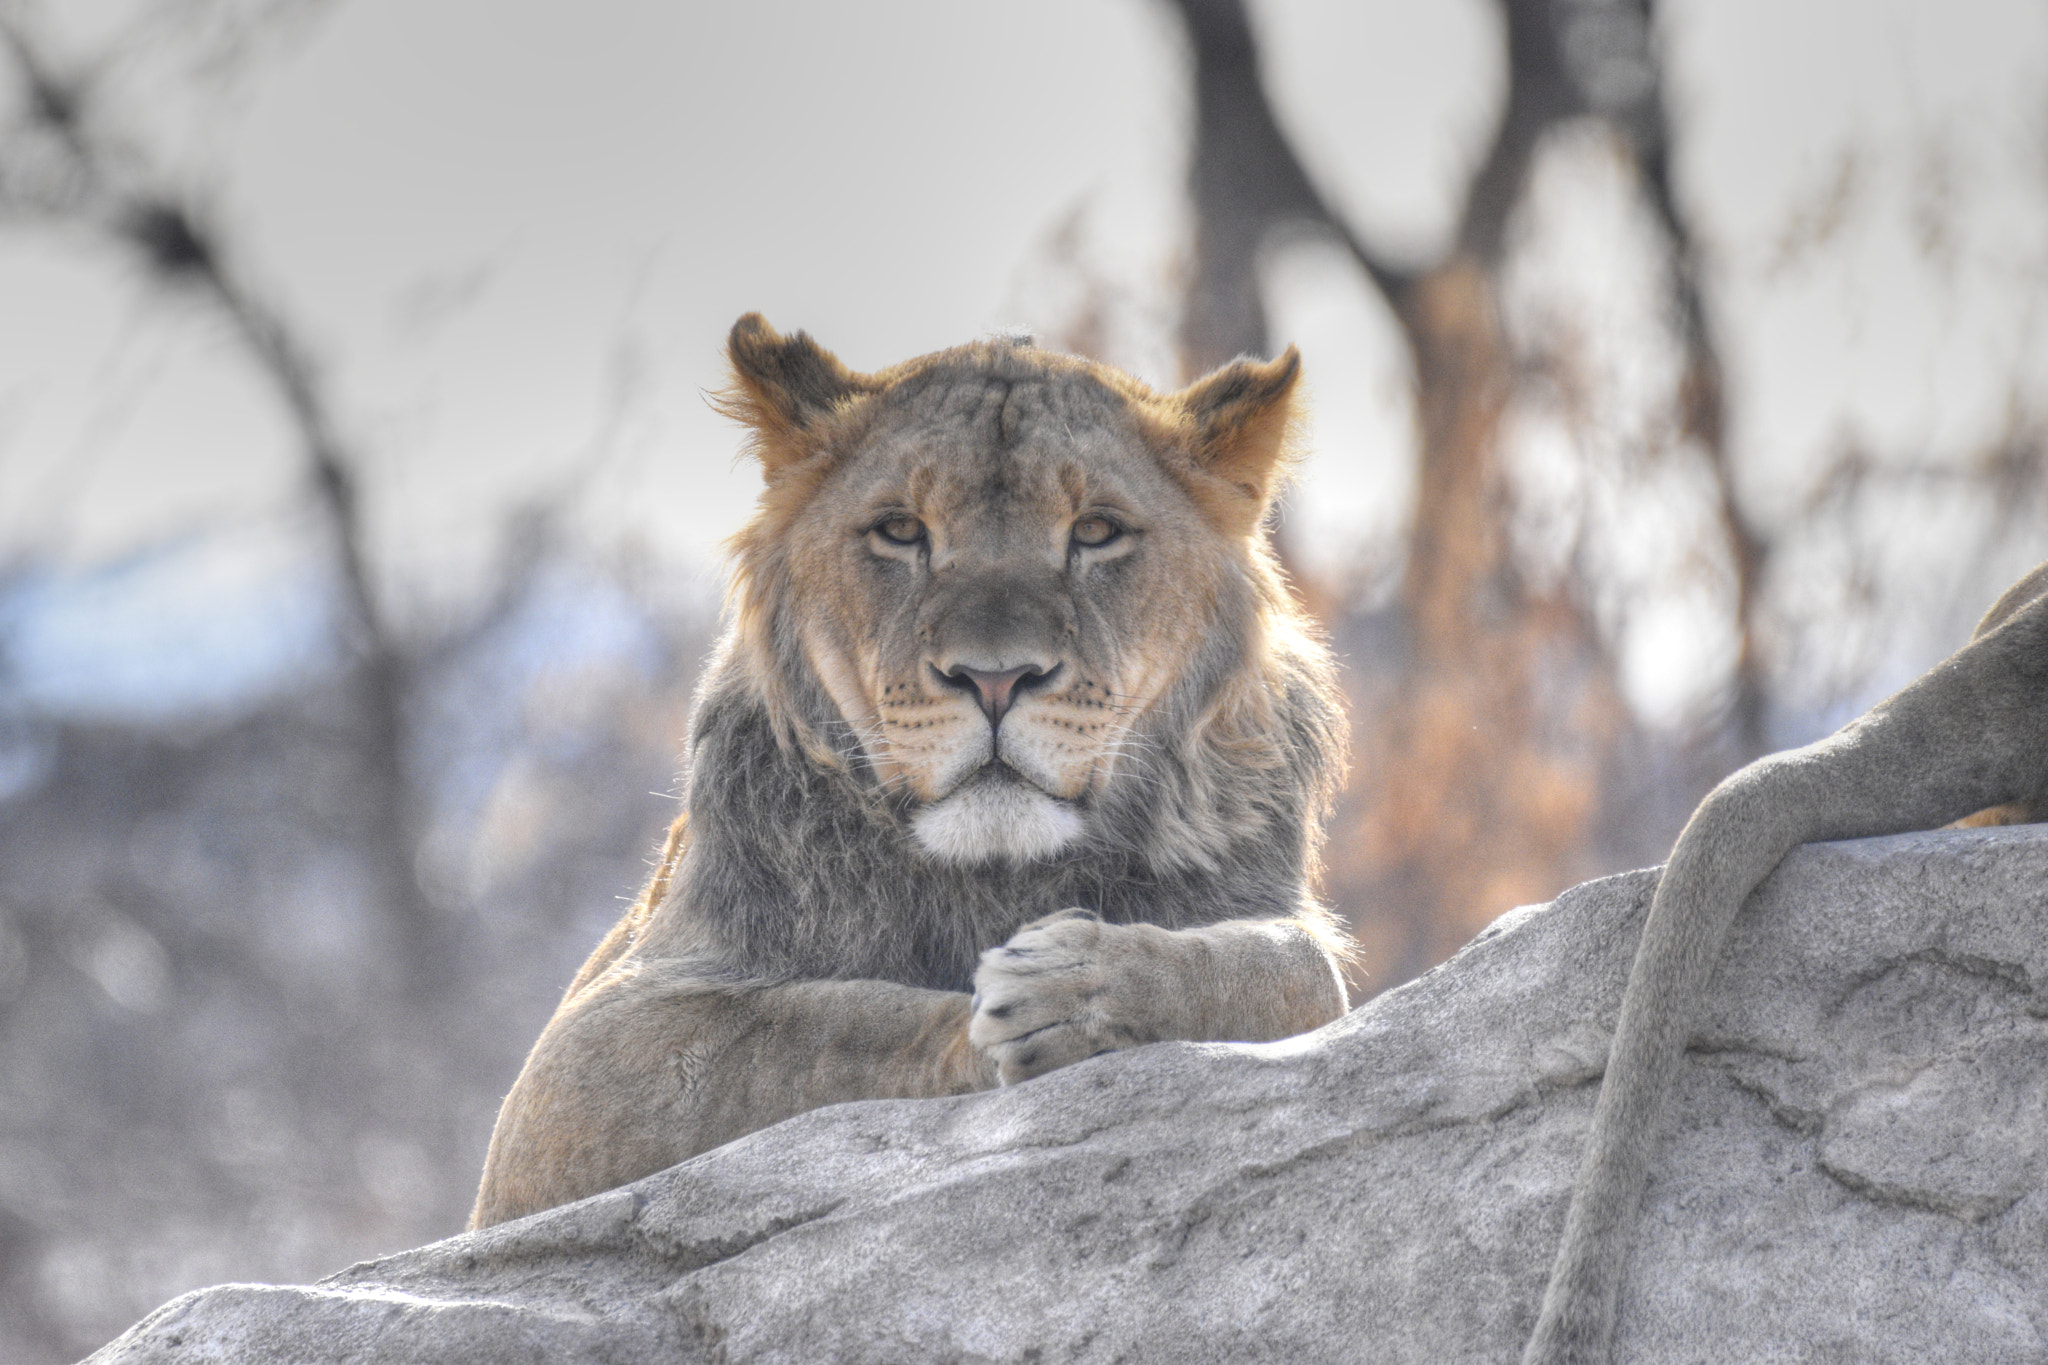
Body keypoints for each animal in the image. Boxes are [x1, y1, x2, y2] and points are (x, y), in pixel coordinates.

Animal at [468, 316, 1354, 1228]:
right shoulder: (576, 1067)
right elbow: (823, 1023)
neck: (996, 874)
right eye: (899, 531)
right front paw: (1025, 1009)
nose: (995, 679)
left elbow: (1292, 967)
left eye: (1097, 531)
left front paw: (1082, 990)